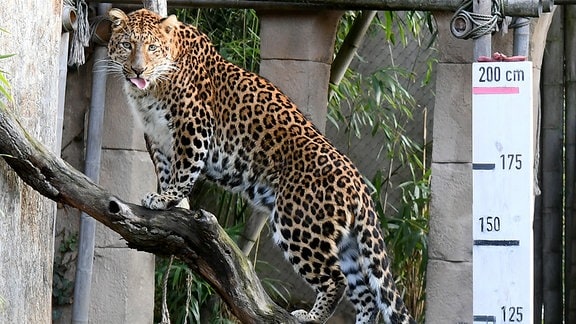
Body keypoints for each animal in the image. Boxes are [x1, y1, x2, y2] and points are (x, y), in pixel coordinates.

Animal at [107, 7, 414, 324]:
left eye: (152, 48)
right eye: (127, 45)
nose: (138, 70)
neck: (151, 89)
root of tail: (358, 182)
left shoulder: (193, 126)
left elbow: (184, 168)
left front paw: (165, 198)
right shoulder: (157, 136)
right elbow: (167, 168)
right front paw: (171, 201)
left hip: (299, 224)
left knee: (336, 280)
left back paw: (310, 316)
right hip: (347, 242)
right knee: (366, 294)